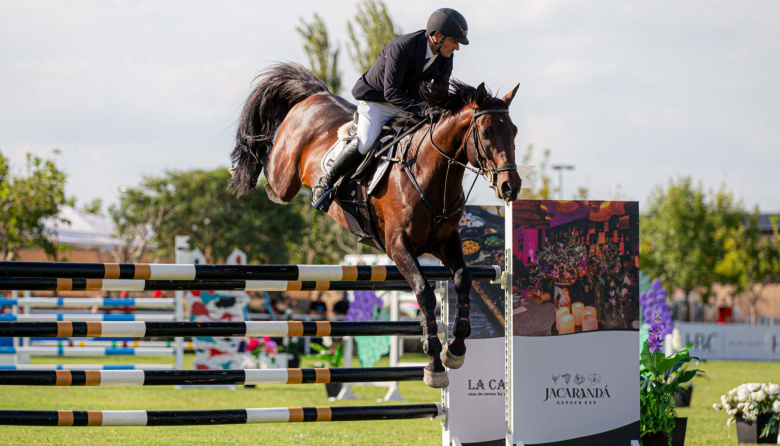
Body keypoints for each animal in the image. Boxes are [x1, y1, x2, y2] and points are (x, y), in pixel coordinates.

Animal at [230, 63, 521, 388]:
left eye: (513, 131)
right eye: (485, 132)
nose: (510, 187)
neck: (429, 173)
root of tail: (315, 95)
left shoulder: (446, 242)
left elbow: (463, 279)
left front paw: (454, 350)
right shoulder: (398, 246)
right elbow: (424, 293)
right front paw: (434, 364)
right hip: (285, 180)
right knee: (270, 172)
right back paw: (254, 159)